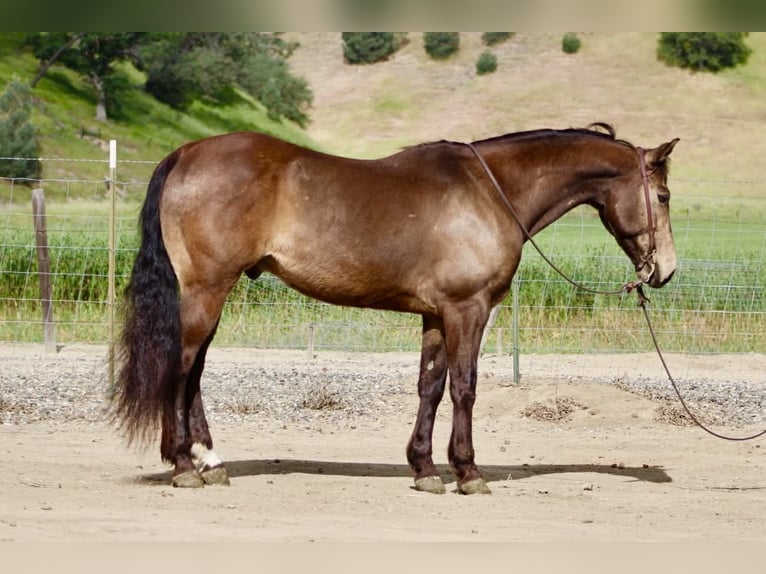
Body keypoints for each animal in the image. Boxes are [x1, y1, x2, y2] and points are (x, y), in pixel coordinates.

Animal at [113, 123, 679, 494]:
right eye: (664, 196)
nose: (665, 270)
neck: (489, 191)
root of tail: (186, 153)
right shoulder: (467, 311)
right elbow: (465, 387)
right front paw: (468, 472)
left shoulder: (436, 315)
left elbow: (430, 387)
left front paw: (425, 469)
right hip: (207, 291)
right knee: (181, 368)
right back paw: (184, 465)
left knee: (195, 373)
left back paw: (210, 460)